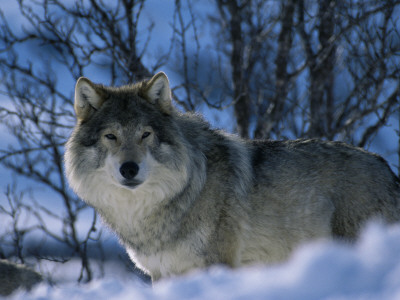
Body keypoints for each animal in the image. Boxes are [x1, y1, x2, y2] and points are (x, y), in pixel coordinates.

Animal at [64, 71, 398, 280]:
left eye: (145, 134)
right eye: (111, 136)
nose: (129, 169)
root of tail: (388, 169)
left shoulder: (218, 264)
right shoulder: (162, 273)